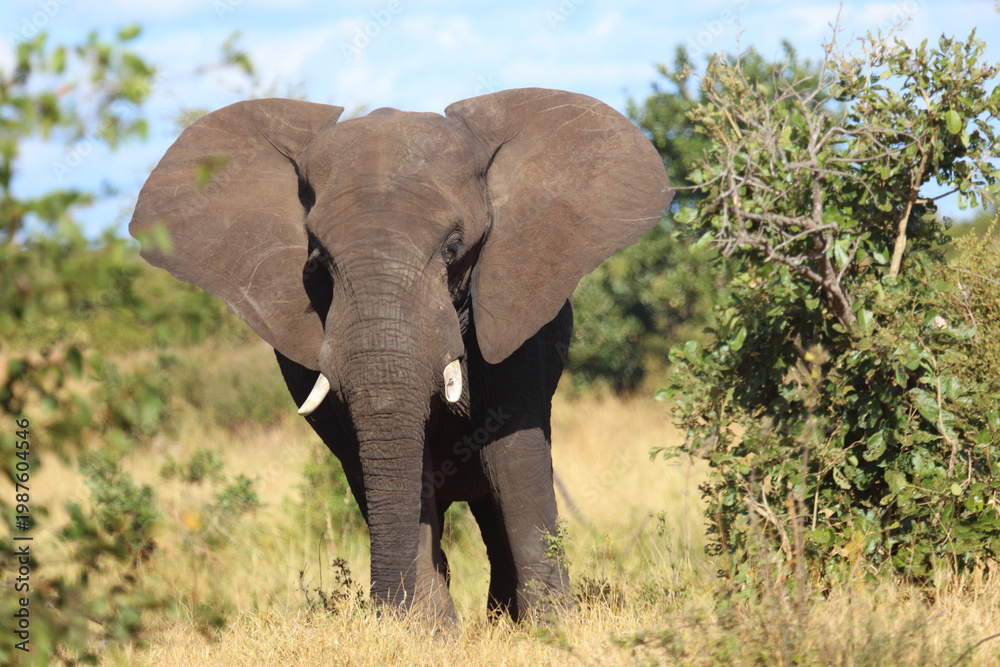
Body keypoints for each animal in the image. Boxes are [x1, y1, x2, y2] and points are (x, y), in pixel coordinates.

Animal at [129, 87, 672, 622]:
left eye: (454, 247)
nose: (380, 612)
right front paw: (425, 633)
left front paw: (550, 630)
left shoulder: (517, 304)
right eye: (318, 260)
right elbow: (385, 461)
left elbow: (512, 453)